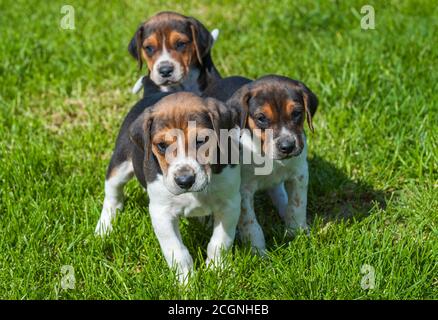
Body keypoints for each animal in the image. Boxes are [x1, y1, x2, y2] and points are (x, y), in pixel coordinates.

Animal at [94, 92, 241, 280]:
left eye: (201, 141)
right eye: (162, 146)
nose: (185, 180)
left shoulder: (229, 205)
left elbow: (220, 242)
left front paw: (217, 269)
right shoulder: (161, 213)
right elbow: (177, 251)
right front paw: (186, 281)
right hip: (119, 164)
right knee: (112, 195)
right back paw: (104, 227)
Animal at [205, 74, 318, 252]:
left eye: (297, 113)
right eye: (261, 118)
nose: (287, 147)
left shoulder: (299, 174)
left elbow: (297, 206)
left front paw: (297, 232)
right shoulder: (243, 189)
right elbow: (250, 223)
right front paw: (258, 250)